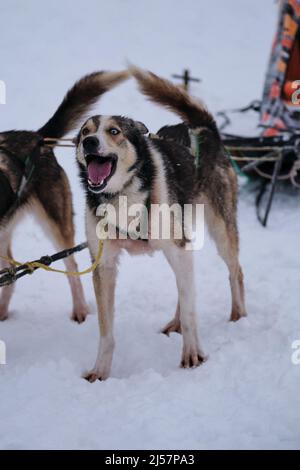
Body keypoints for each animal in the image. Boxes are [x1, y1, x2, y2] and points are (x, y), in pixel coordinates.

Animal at [75, 66, 246, 382]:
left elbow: (192, 311)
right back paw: (176, 323)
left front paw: (192, 355)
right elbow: (106, 331)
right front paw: (100, 371)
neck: (124, 197)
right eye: (84, 132)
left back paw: (238, 316)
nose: (89, 142)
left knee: (234, 272)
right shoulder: (104, 264)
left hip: (218, 229)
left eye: (114, 131)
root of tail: (206, 129)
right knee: (185, 287)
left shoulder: (177, 247)